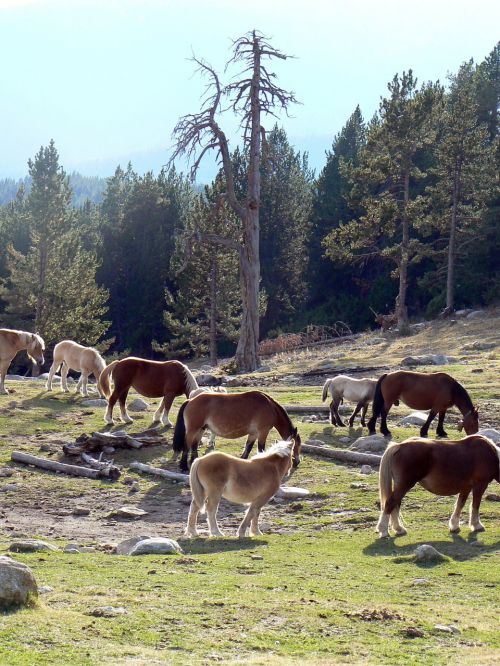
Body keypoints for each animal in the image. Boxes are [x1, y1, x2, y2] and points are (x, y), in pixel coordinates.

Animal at [172, 390, 300, 472]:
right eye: (297, 445)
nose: (297, 462)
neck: (270, 407)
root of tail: (190, 400)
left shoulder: (253, 433)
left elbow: (248, 447)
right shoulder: (262, 432)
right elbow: (261, 448)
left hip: (200, 429)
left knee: (194, 446)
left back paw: (194, 461)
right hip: (193, 430)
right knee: (187, 445)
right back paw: (183, 466)